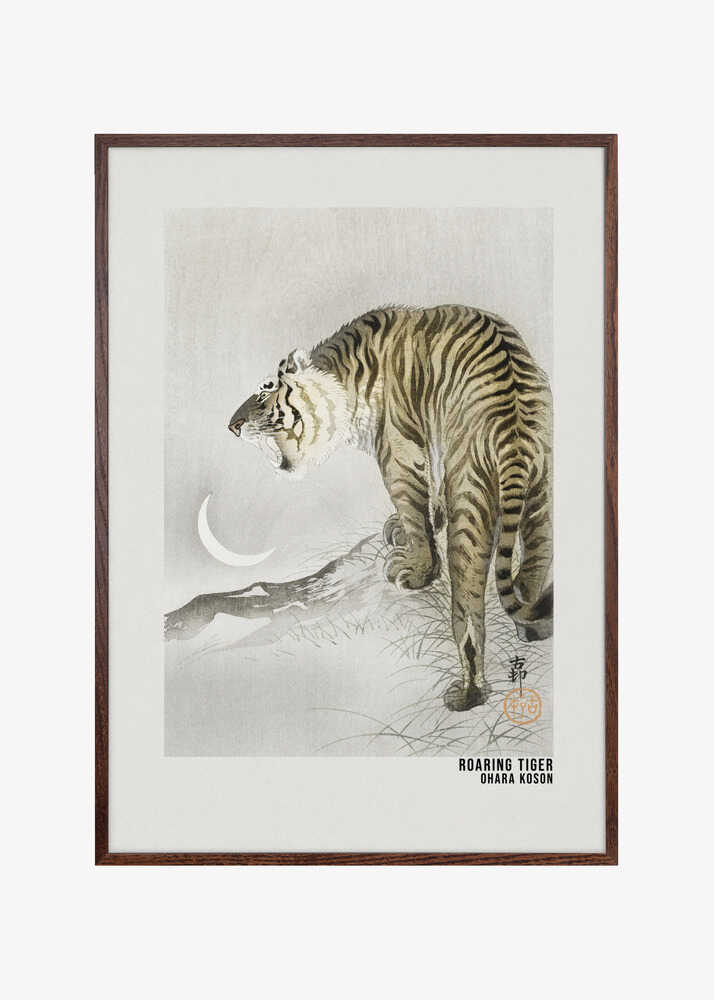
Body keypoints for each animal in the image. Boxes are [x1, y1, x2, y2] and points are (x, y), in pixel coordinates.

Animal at [228, 305, 552, 712]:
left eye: (265, 391)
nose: (232, 425)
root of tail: (514, 427)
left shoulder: (398, 451)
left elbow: (413, 506)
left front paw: (416, 569)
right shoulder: (432, 440)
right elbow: (429, 495)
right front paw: (412, 525)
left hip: (471, 495)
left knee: (468, 609)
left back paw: (468, 693)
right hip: (542, 491)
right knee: (535, 563)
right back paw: (533, 627)